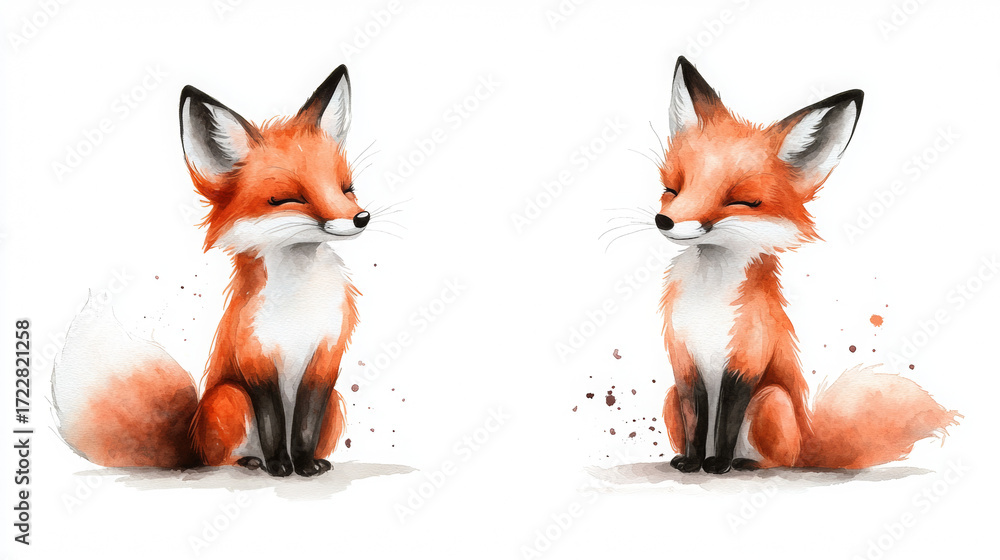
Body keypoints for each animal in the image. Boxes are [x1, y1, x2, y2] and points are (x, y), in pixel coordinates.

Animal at [51, 65, 371, 477]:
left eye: (347, 188)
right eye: (288, 198)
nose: (361, 218)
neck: (300, 304)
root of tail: (190, 443)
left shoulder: (326, 358)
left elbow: (303, 427)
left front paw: (303, 464)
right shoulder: (254, 359)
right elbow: (272, 424)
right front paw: (280, 466)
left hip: (335, 402)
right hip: (229, 397)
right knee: (220, 458)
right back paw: (252, 462)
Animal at [655, 57, 960, 474]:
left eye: (741, 201)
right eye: (672, 188)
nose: (664, 221)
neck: (708, 300)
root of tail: (807, 441)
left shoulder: (747, 360)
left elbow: (726, 422)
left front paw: (717, 464)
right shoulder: (683, 362)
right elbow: (696, 420)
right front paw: (692, 461)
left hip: (771, 399)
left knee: (778, 460)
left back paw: (746, 463)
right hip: (670, 395)